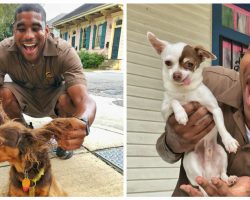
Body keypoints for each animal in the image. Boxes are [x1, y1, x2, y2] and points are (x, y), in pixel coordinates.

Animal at [147, 32, 239, 195]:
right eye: (168, 63)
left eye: (189, 64)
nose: (176, 75)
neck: (185, 91)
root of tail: (209, 175)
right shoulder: (165, 111)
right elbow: (173, 100)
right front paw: (181, 114)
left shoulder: (214, 109)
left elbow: (221, 126)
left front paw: (229, 141)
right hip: (191, 163)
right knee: (202, 187)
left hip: (221, 153)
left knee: (222, 174)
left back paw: (230, 179)